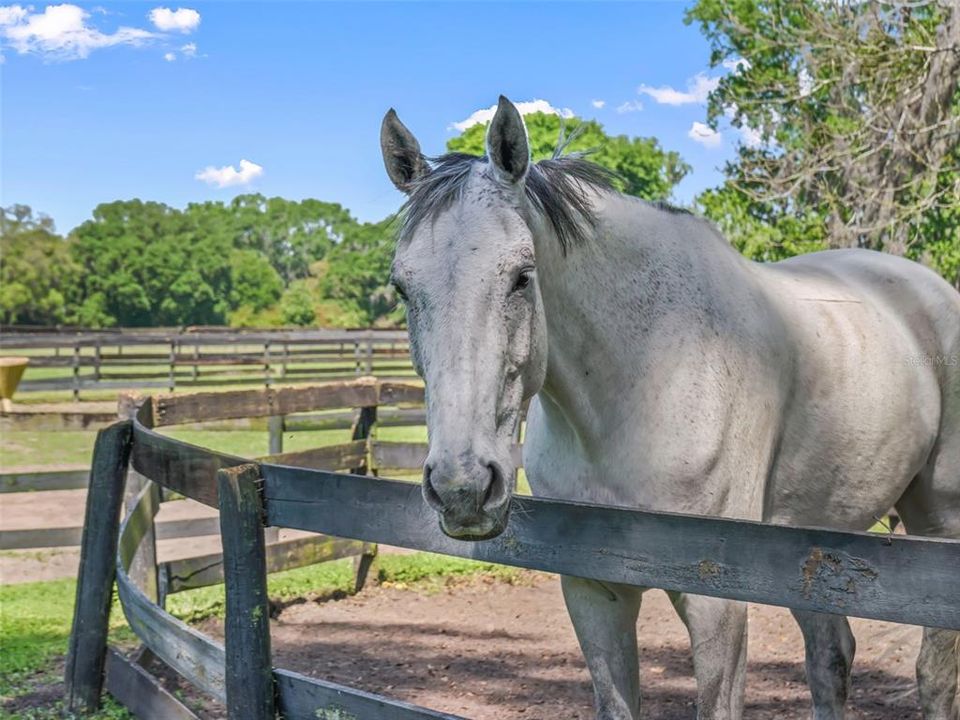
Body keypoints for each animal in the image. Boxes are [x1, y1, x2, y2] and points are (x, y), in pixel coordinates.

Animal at [378, 97, 956, 720]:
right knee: (831, 657)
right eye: (403, 289)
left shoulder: (716, 602)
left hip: (938, 528)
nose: (461, 488)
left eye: (521, 277)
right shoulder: (592, 590)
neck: (644, 380)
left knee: (934, 673)